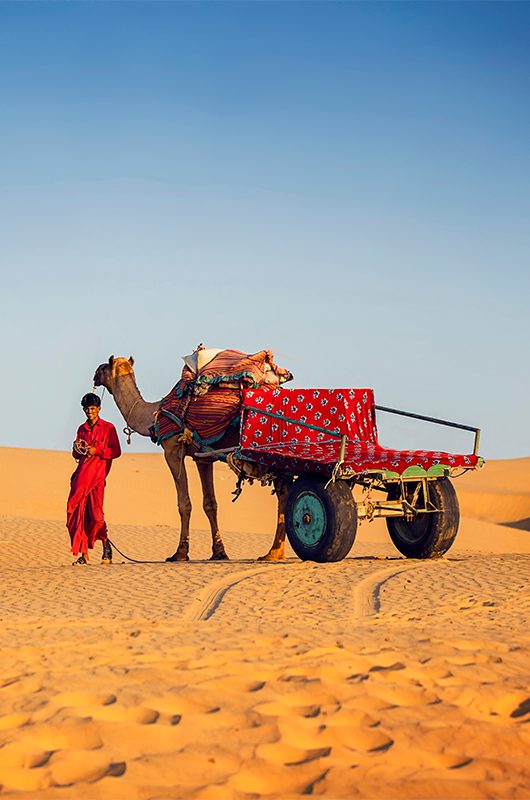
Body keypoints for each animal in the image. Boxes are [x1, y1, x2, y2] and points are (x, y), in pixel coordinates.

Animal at [93, 356, 286, 564]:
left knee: (283, 494)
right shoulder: (203, 458)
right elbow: (210, 504)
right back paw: (276, 552)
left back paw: (273, 553)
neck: (152, 416)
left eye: (103, 367)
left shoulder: (172, 450)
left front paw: (180, 552)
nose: (94, 375)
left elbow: (184, 503)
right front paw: (219, 552)